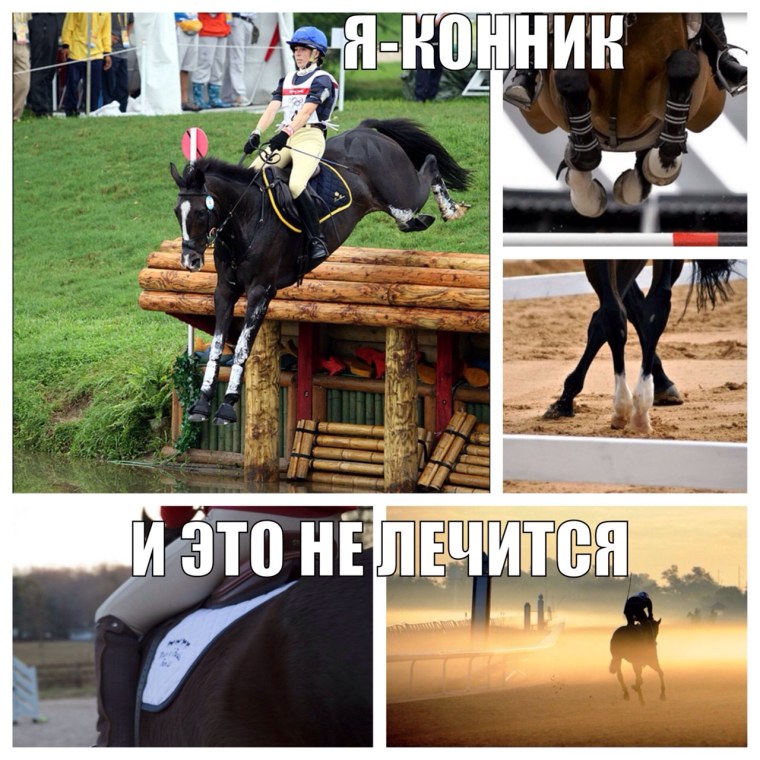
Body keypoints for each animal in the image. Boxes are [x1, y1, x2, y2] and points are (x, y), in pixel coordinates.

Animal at [170, 118, 471, 425]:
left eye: (200, 213)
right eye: (176, 212)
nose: (190, 260)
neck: (247, 218)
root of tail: (366, 130)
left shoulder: (260, 292)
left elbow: (242, 347)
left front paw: (228, 406)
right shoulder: (225, 291)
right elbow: (219, 343)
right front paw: (201, 404)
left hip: (403, 194)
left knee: (429, 166)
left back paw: (451, 209)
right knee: (412, 210)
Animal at [517, 14, 726, 217]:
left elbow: (684, 67)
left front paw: (658, 167)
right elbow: (571, 79)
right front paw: (589, 195)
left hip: (709, 108)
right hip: (538, 118)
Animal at [543, 260, 734, 433]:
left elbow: (613, 312)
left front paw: (565, 401)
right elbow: (634, 307)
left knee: (616, 311)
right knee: (654, 305)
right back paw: (642, 409)